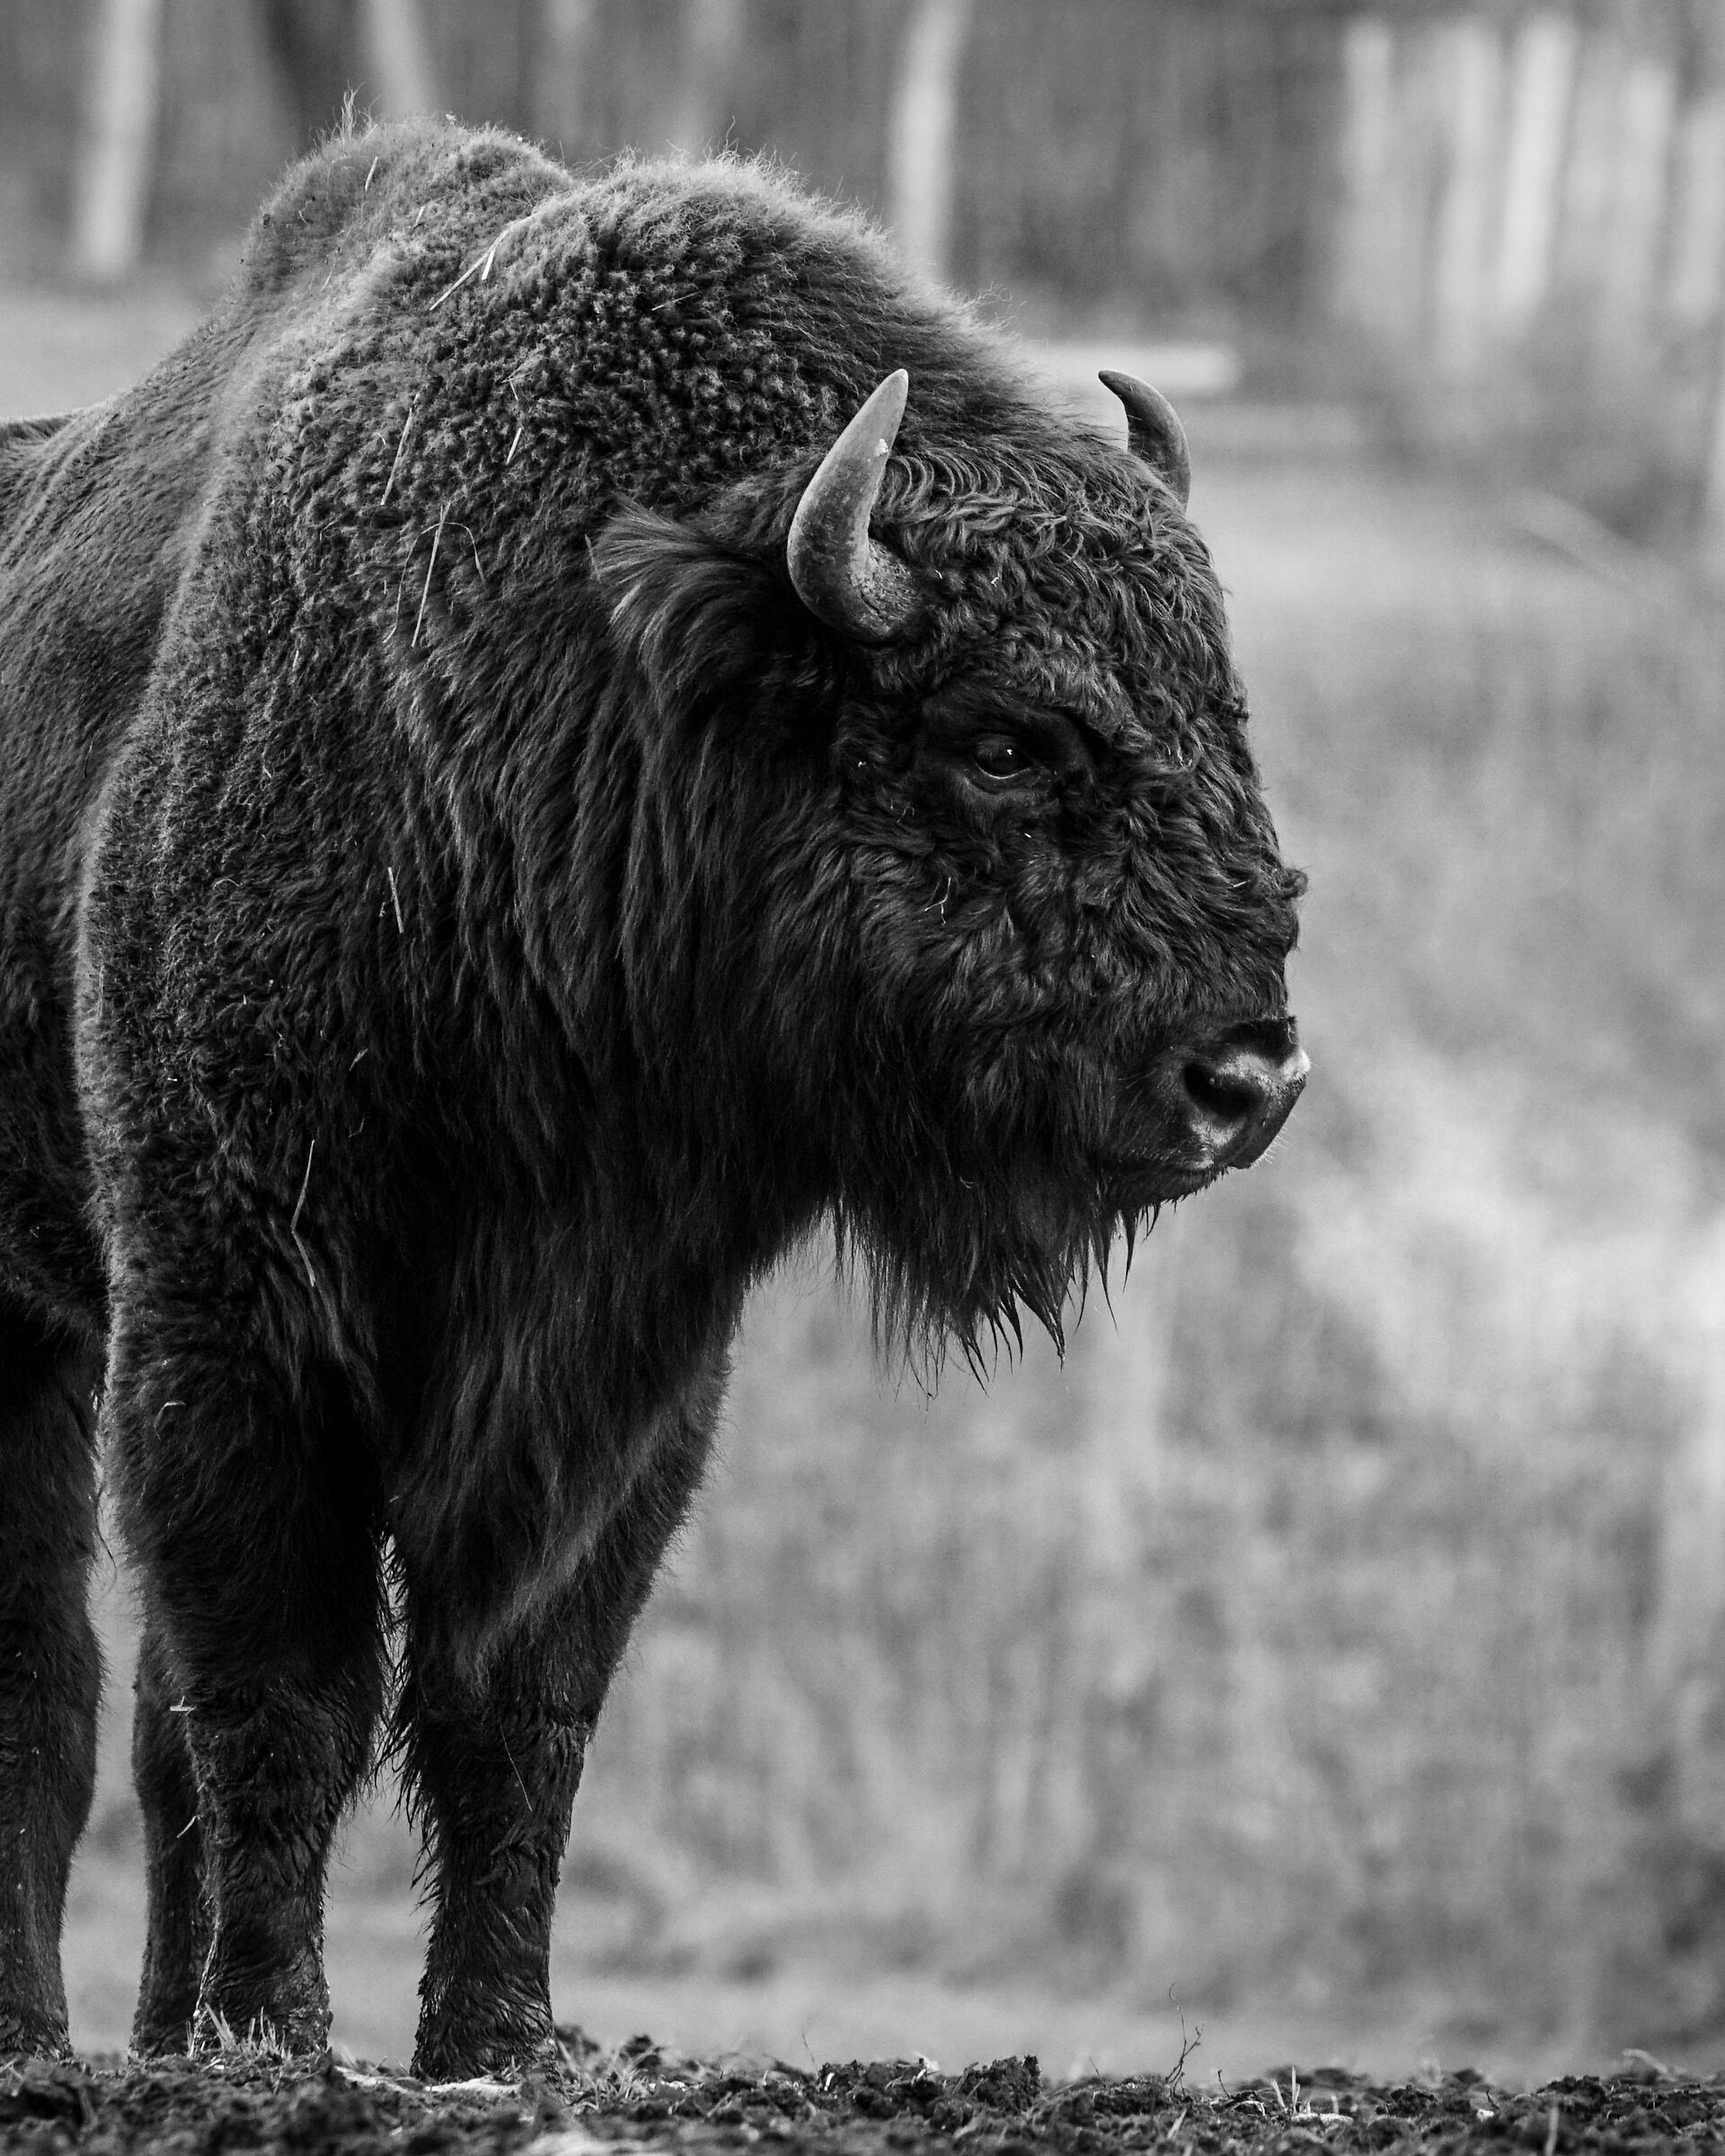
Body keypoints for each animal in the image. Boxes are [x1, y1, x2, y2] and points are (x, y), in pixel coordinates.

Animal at [0, 119, 1305, 2075]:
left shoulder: (630, 1361)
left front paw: (497, 2035)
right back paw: (59, 2033)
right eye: (1003, 738)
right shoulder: (240, 1317)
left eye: (1222, 710)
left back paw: (156, 2037)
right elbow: (282, 1693)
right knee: (49, 1688)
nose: (1250, 1074)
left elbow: (517, 1706)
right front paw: (285, 2032)